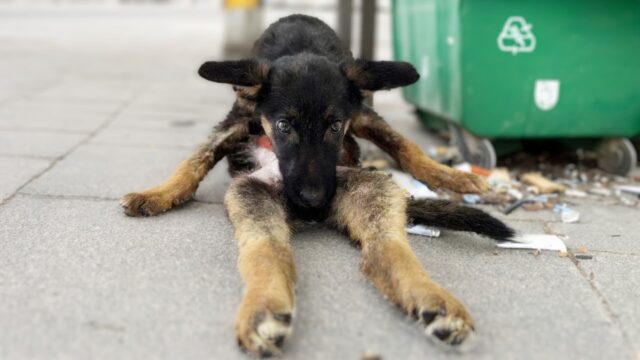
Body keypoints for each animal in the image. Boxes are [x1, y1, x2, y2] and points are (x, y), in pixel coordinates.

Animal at [121, 14, 516, 358]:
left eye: (335, 126)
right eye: (284, 126)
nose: (312, 201)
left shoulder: (360, 114)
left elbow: (405, 146)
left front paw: (449, 175)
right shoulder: (236, 120)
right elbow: (193, 162)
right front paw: (157, 194)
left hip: (365, 176)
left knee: (383, 243)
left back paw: (433, 294)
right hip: (252, 194)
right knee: (268, 249)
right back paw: (266, 309)